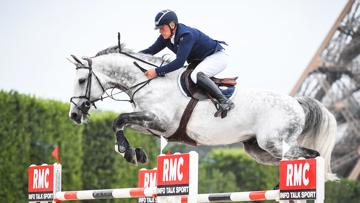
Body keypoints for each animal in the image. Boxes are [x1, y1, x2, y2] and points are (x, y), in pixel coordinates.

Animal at [68, 45, 338, 180]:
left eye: (81, 80)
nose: (73, 115)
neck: (149, 81)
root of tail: (297, 102)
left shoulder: (159, 120)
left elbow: (119, 119)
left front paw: (127, 151)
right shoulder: (152, 124)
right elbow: (121, 123)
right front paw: (134, 152)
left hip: (273, 142)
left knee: (310, 155)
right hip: (258, 149)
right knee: (288, 159)